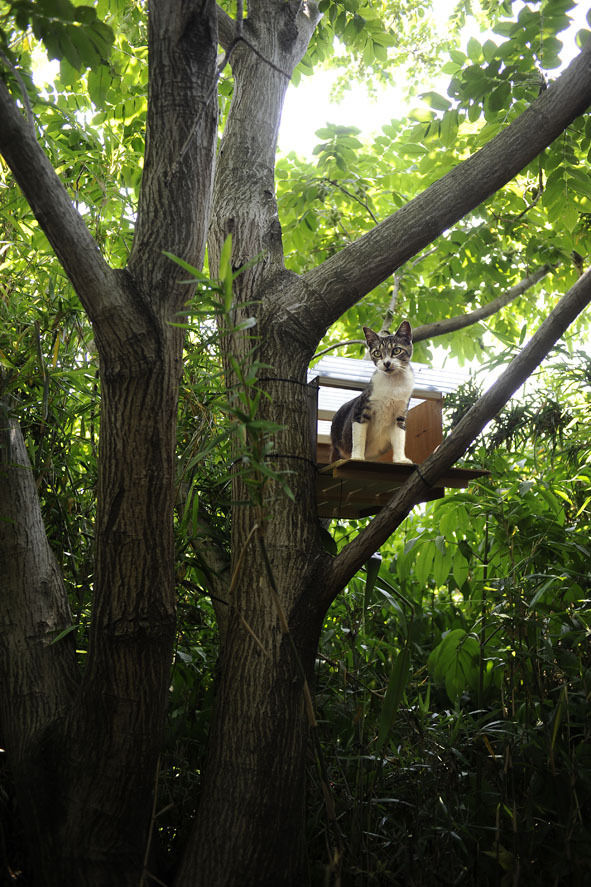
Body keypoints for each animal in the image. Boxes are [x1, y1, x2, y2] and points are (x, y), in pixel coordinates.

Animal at [328, 324, 416, 464]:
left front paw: (401, 459)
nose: (386, 363)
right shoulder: (361, 410)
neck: (393, 384)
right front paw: (357, 457)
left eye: (397, 350)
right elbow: (359, 439)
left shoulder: (400, 414)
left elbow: (399, 439)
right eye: (377, 353)